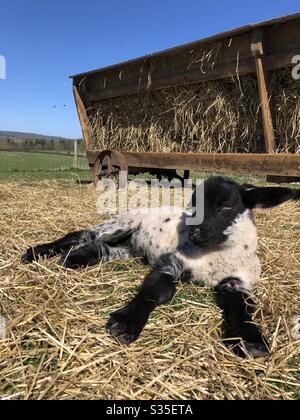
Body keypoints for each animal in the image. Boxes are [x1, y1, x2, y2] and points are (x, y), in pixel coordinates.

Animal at [21, 177, 300, 358]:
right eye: (193, 204)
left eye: (227, 204)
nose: (194, 232)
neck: (214, 256)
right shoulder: (170, 264)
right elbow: (157, 291)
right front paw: (126, 324)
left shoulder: (237, 281)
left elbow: (242, 308)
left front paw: (252, 341)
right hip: (120, 223)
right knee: (82, 235)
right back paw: (36, 253)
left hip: (130, 247)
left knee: (102, 248)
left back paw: (74, 259)